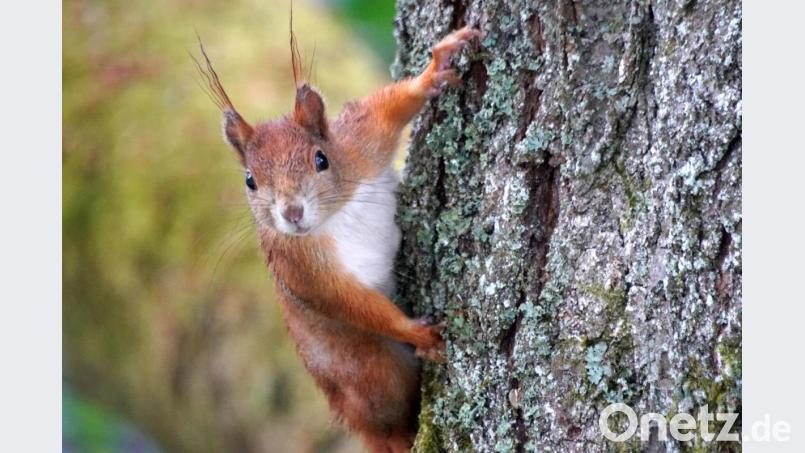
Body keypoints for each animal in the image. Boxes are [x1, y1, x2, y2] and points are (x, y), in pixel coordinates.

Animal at [195, 24, 483, 453]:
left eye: (321, 159)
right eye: (250, 181)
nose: (292, 214)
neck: (335, 216)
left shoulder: (360, 143)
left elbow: (389, 107)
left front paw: (437, 66)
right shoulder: (299, 268)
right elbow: (348, 302)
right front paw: (418, 331)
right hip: (371, 369)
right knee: (391, 418)